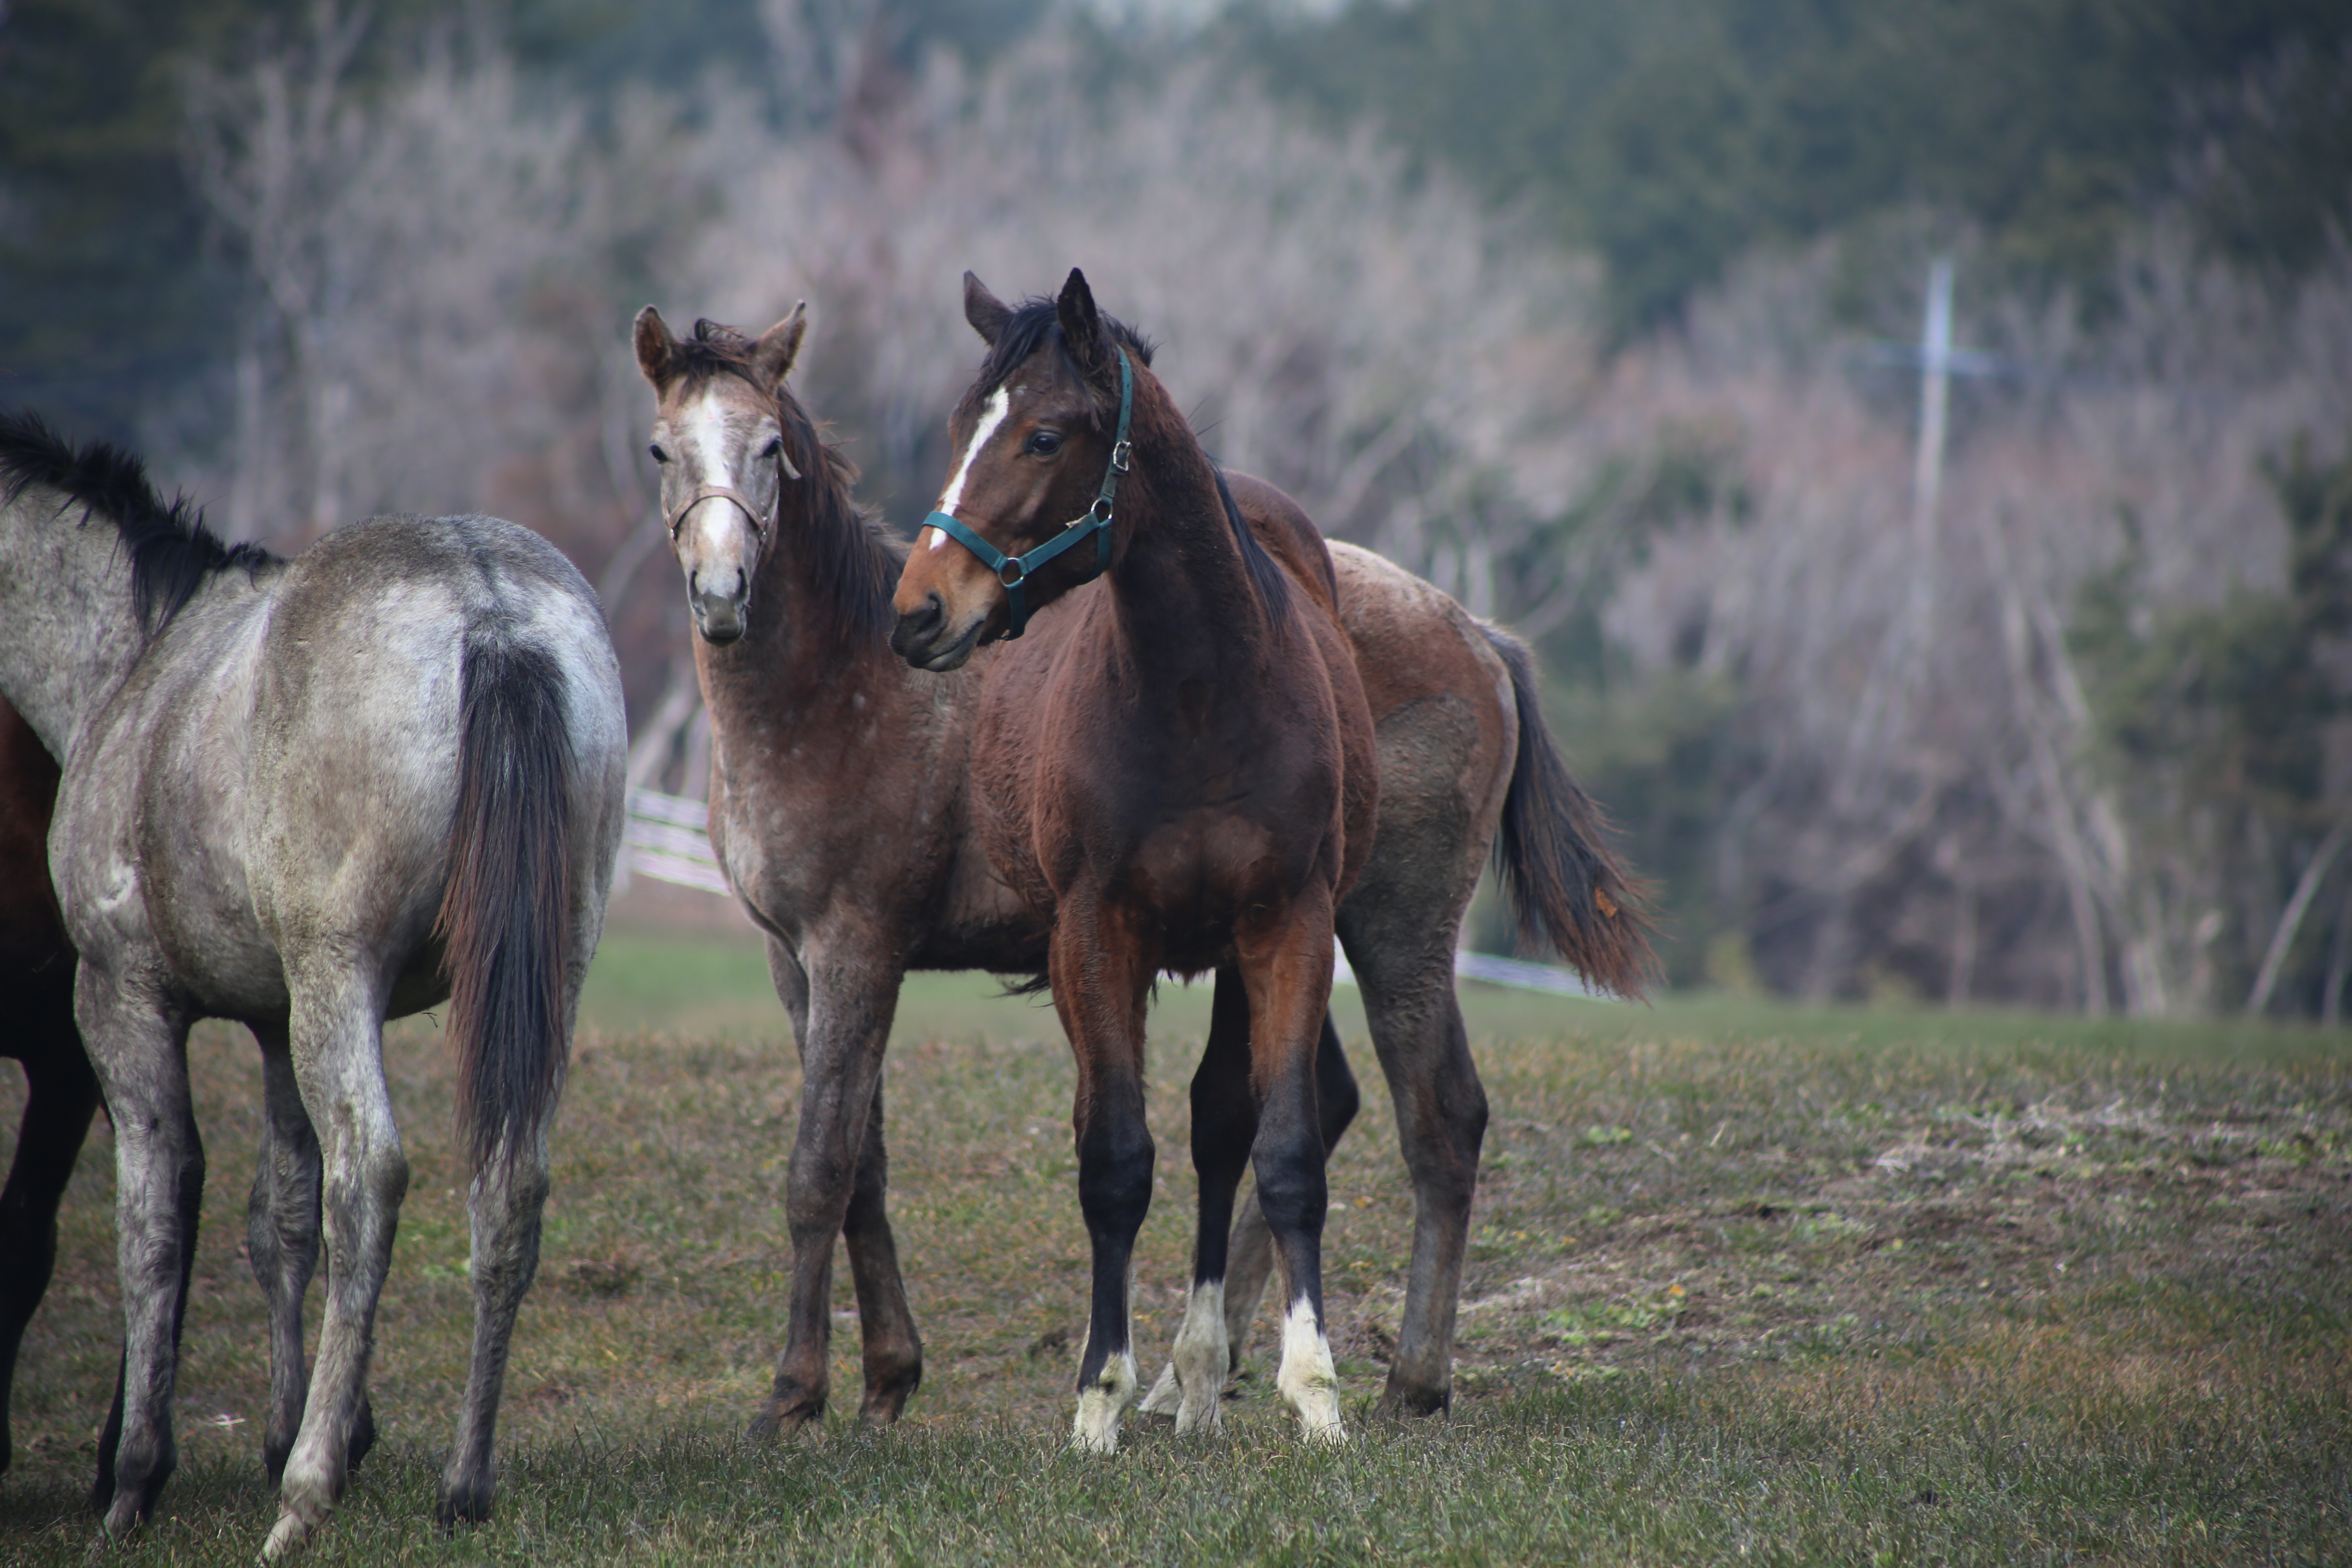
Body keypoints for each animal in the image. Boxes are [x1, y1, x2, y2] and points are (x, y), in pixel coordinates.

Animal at [0, 411, 630, 1551]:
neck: (138, 663)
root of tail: (490, 612)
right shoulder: (270, 1018)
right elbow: (280, 1217)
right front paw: (289, 1427)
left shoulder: (120, 1005)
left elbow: (155, 1218)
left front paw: (136, 1479)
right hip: (529, 978)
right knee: (506, 1187)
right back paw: (460, 1485)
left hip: (341, 982)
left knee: (368, 1178)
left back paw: (305, 1500)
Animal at [635, 285, 1646, 1448]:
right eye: (661, 447)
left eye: (769, 449)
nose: (720, 592)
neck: (839, 687)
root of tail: (1476, 631)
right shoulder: (798, 958)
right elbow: (865, 1163)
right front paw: (888, 1378)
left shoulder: (858, 947)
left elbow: (821, 1167)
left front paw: (796, 1394)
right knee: (1310, 1105)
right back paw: (1197, 1376)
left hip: (1392, 929)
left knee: (1437, 1118)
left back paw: (1402, 1380)